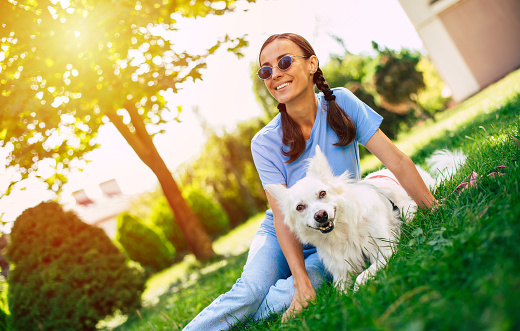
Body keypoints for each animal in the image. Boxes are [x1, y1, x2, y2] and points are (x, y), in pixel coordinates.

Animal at [266, 147, 466, 292]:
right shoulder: (342, 272)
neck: (343, 232)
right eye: (300, 207)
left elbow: (361, 277)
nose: (320, 215)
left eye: (322, 193)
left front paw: (358, 291)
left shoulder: (386, 251)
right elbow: (339, 294)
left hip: (409, 210)